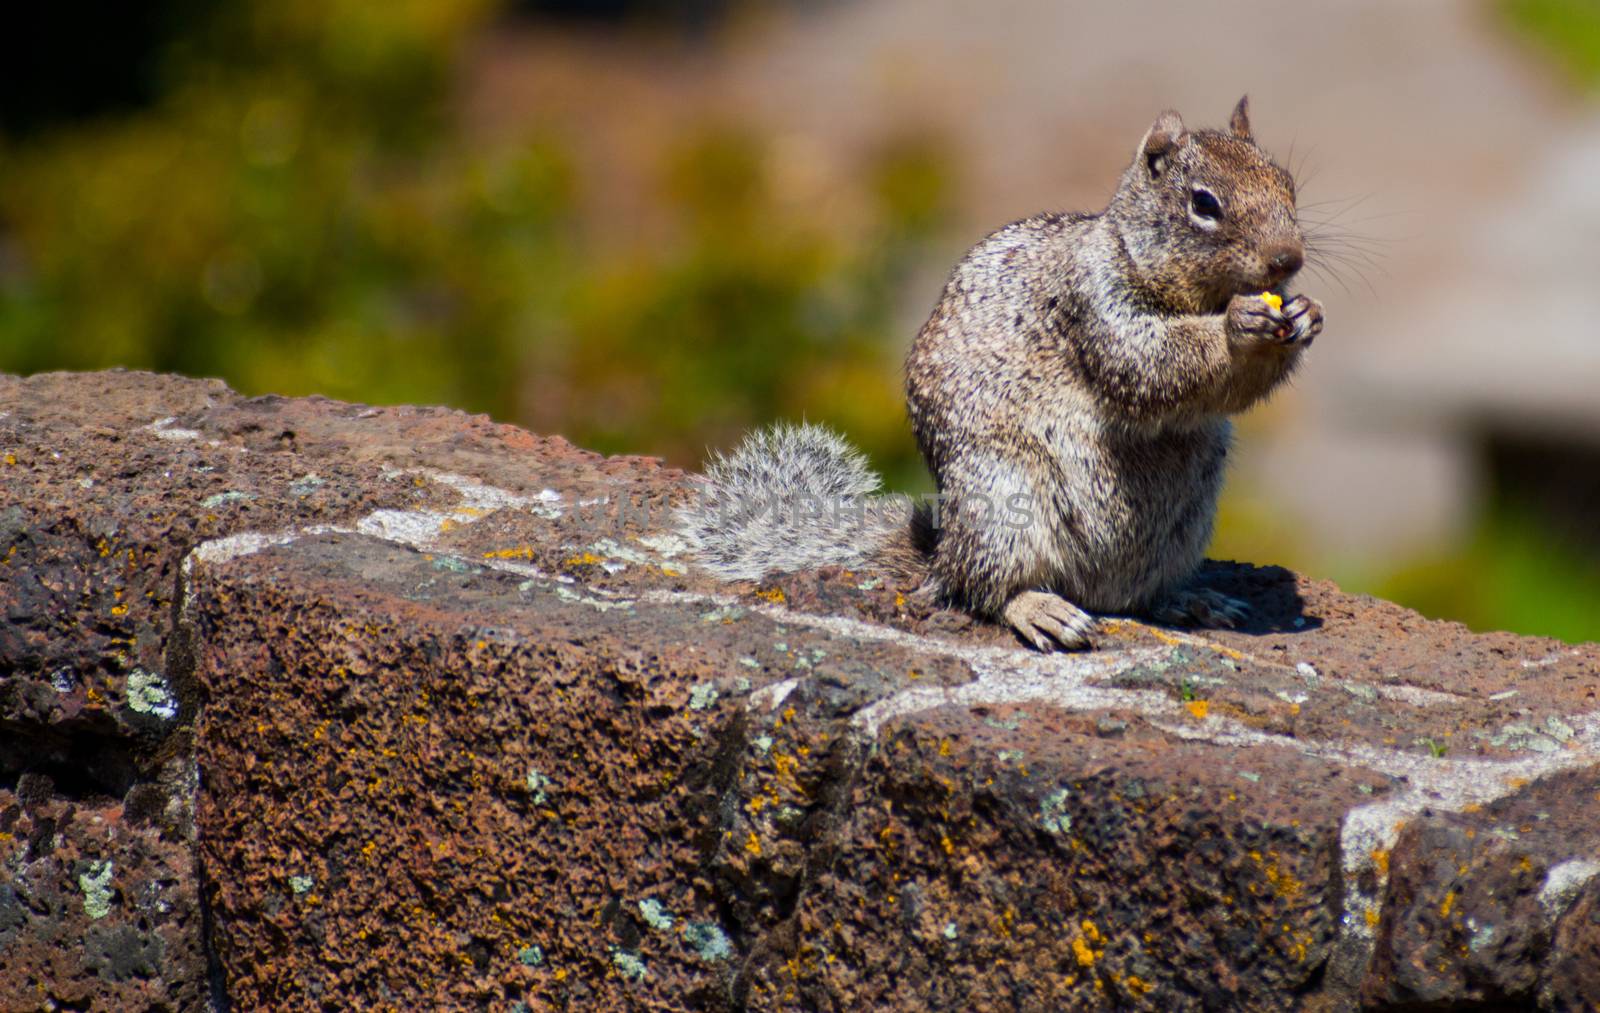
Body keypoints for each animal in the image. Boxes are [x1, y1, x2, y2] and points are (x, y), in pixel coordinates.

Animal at [681, 98, 1318, 652]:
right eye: (1204, 204)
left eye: (1287, 184)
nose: (1289, 259)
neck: (1190, 293)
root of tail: (939, 555)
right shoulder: (1093, 304)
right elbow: (1148, 363)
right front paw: (1238, 324)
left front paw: (1306, 314)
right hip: (1001, 502)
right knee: (981, 591)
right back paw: (1041, 610)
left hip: (1186, 522)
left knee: (1138, 595)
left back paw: (1189, 600)